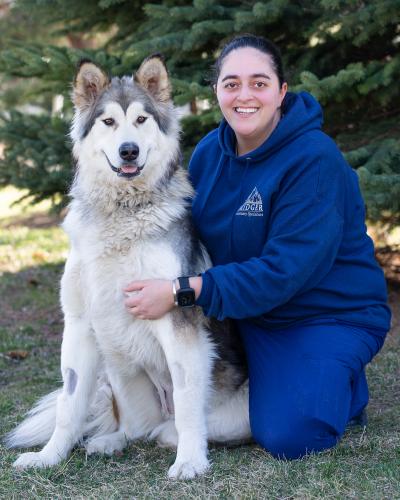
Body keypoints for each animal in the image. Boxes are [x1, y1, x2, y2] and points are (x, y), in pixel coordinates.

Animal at [5, 54, 250, 480]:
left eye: (140, 120)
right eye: (108, 122)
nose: (129, 151)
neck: (123, 213)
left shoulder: (179, 325)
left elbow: (187, 404)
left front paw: (190, 461)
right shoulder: (80, 324)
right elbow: (69, 404)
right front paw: (49, 456)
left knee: (167, 427)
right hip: (117, 369)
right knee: (135, 427)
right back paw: (108, 440)